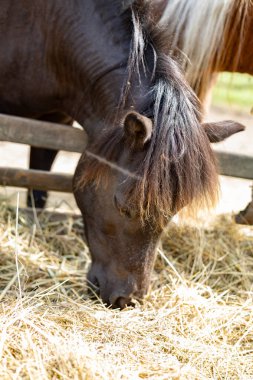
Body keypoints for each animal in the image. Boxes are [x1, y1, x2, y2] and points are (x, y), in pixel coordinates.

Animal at [0, 0, 245, 308]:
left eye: (173, 212)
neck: (49, 31)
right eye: (123, 207)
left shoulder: (55, 118)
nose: (126, 299)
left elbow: (38, 193)